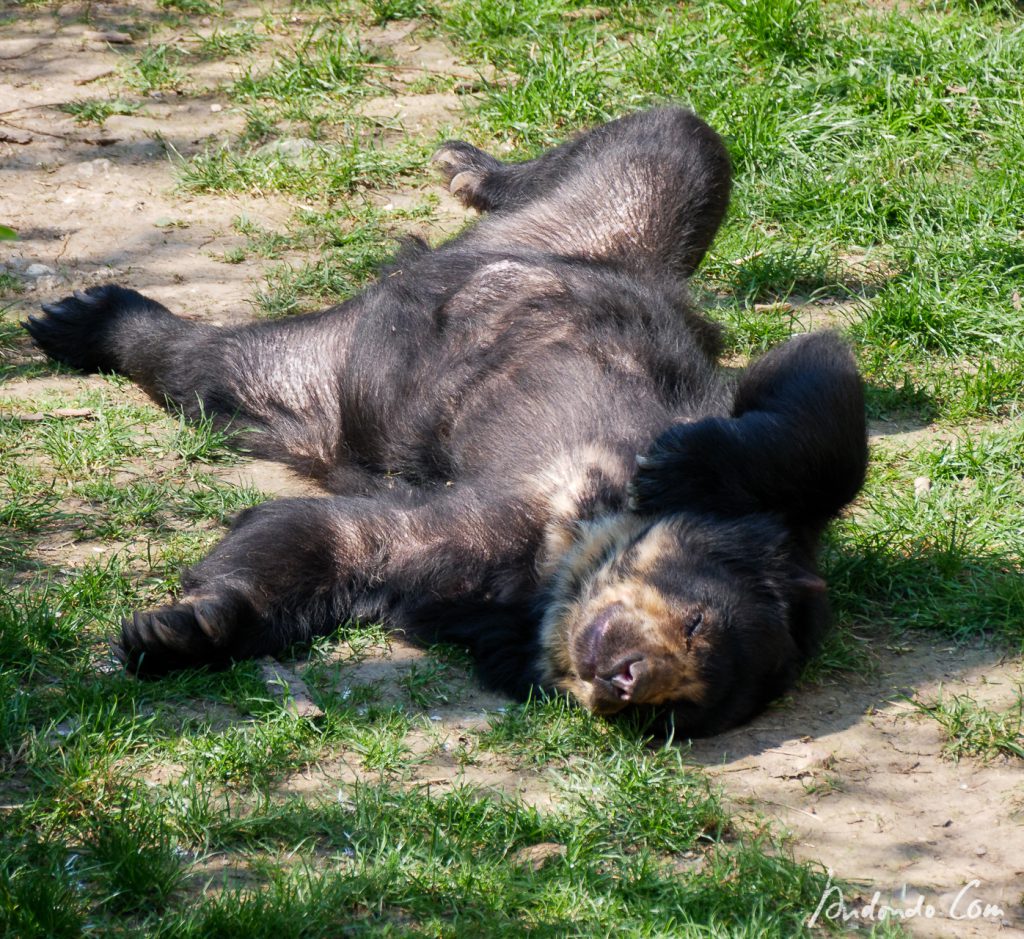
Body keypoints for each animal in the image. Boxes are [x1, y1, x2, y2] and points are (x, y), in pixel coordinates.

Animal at [28, 108, 868, 733]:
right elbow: (819, 399)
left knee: (222, 373)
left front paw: (183, 632)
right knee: (676, 145)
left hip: (315, 393)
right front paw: (175, 628)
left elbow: (342, 542)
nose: (627, 677)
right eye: (695, 623)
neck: (576, 548)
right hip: (601, 232)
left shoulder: (484, 569)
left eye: (678, 710)